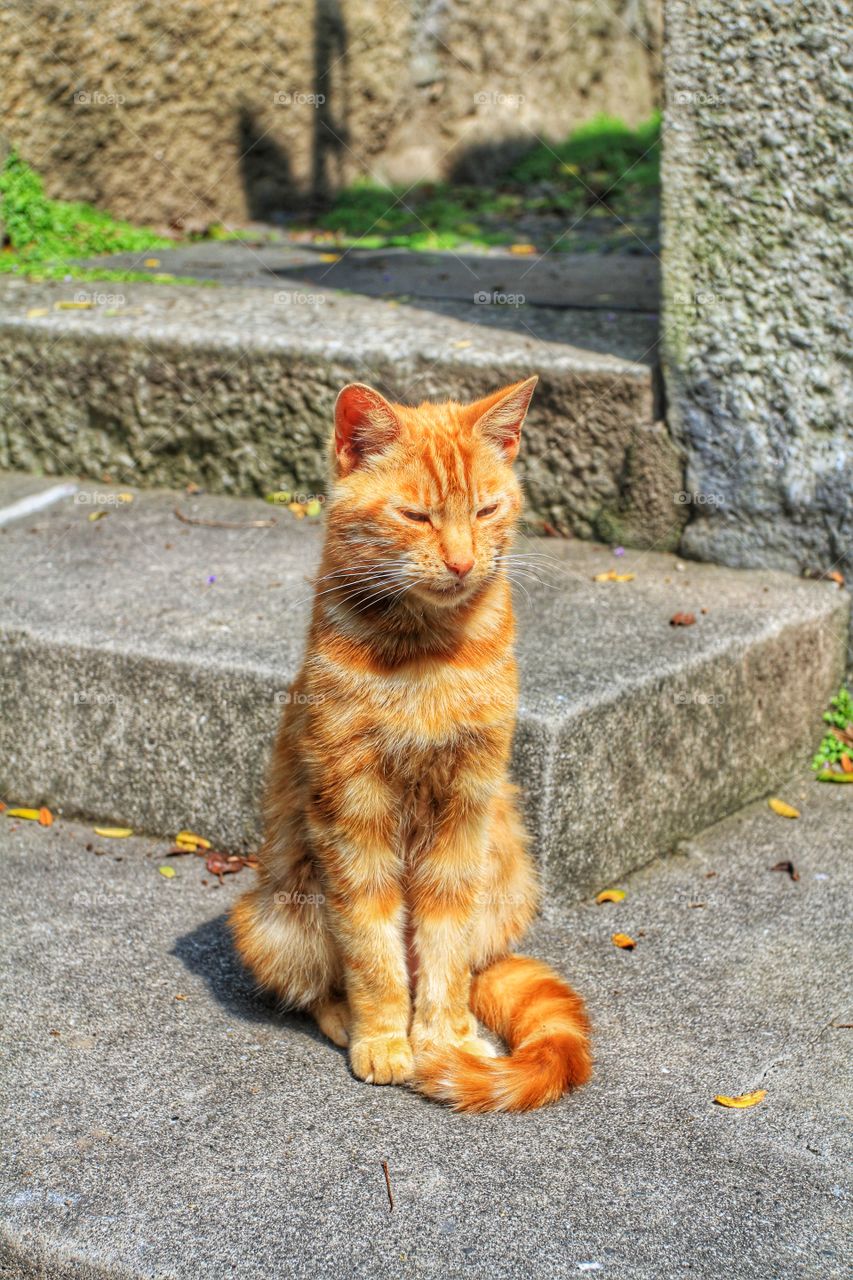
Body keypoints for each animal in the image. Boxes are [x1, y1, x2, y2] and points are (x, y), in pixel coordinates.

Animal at [233, 373, 591, 1111]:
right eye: (417, 516)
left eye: (485, 509)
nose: (461, 561)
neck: (427, 654)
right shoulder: (351, 811)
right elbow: (373, 951)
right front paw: (385, 1038)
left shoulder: (464, 812)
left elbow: (444, 950)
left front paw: (442, 1041)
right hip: (272, 920)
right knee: (319, 985)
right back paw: (348, 1021)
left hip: (509, 880)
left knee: (472, 964)